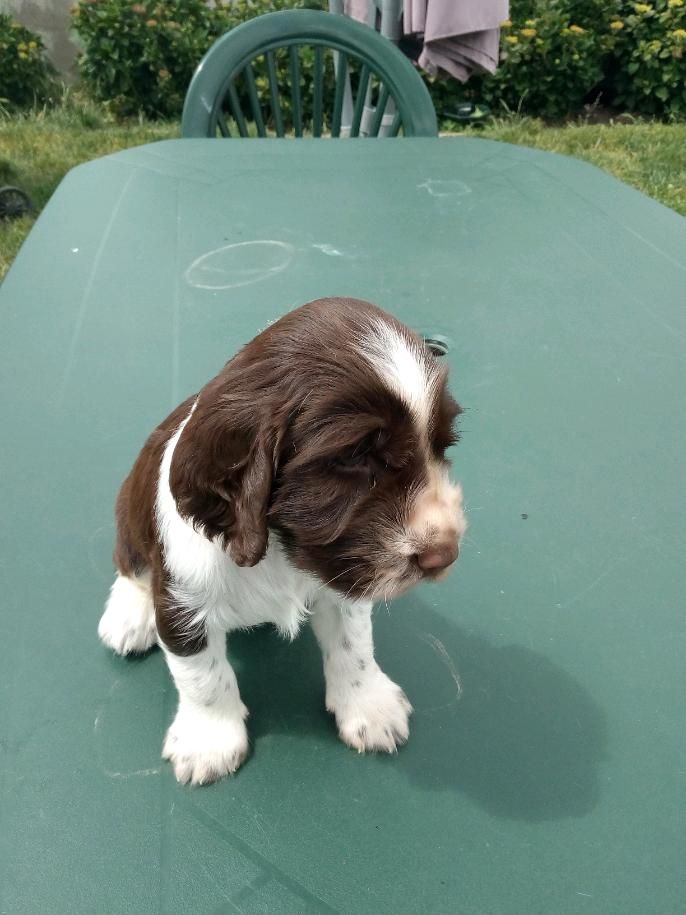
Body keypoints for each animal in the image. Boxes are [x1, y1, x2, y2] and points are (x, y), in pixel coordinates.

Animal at [98, 296, 468, 784]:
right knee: (129, 566)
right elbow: (202, 676)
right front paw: (209, 741)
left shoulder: (342, 578)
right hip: (129, 514)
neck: (280, 551)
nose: (445, 555)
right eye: (354, 456)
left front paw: (368, 706)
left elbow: (355, 644)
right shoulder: (182, 603)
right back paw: (127, 616)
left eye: (443, 447)